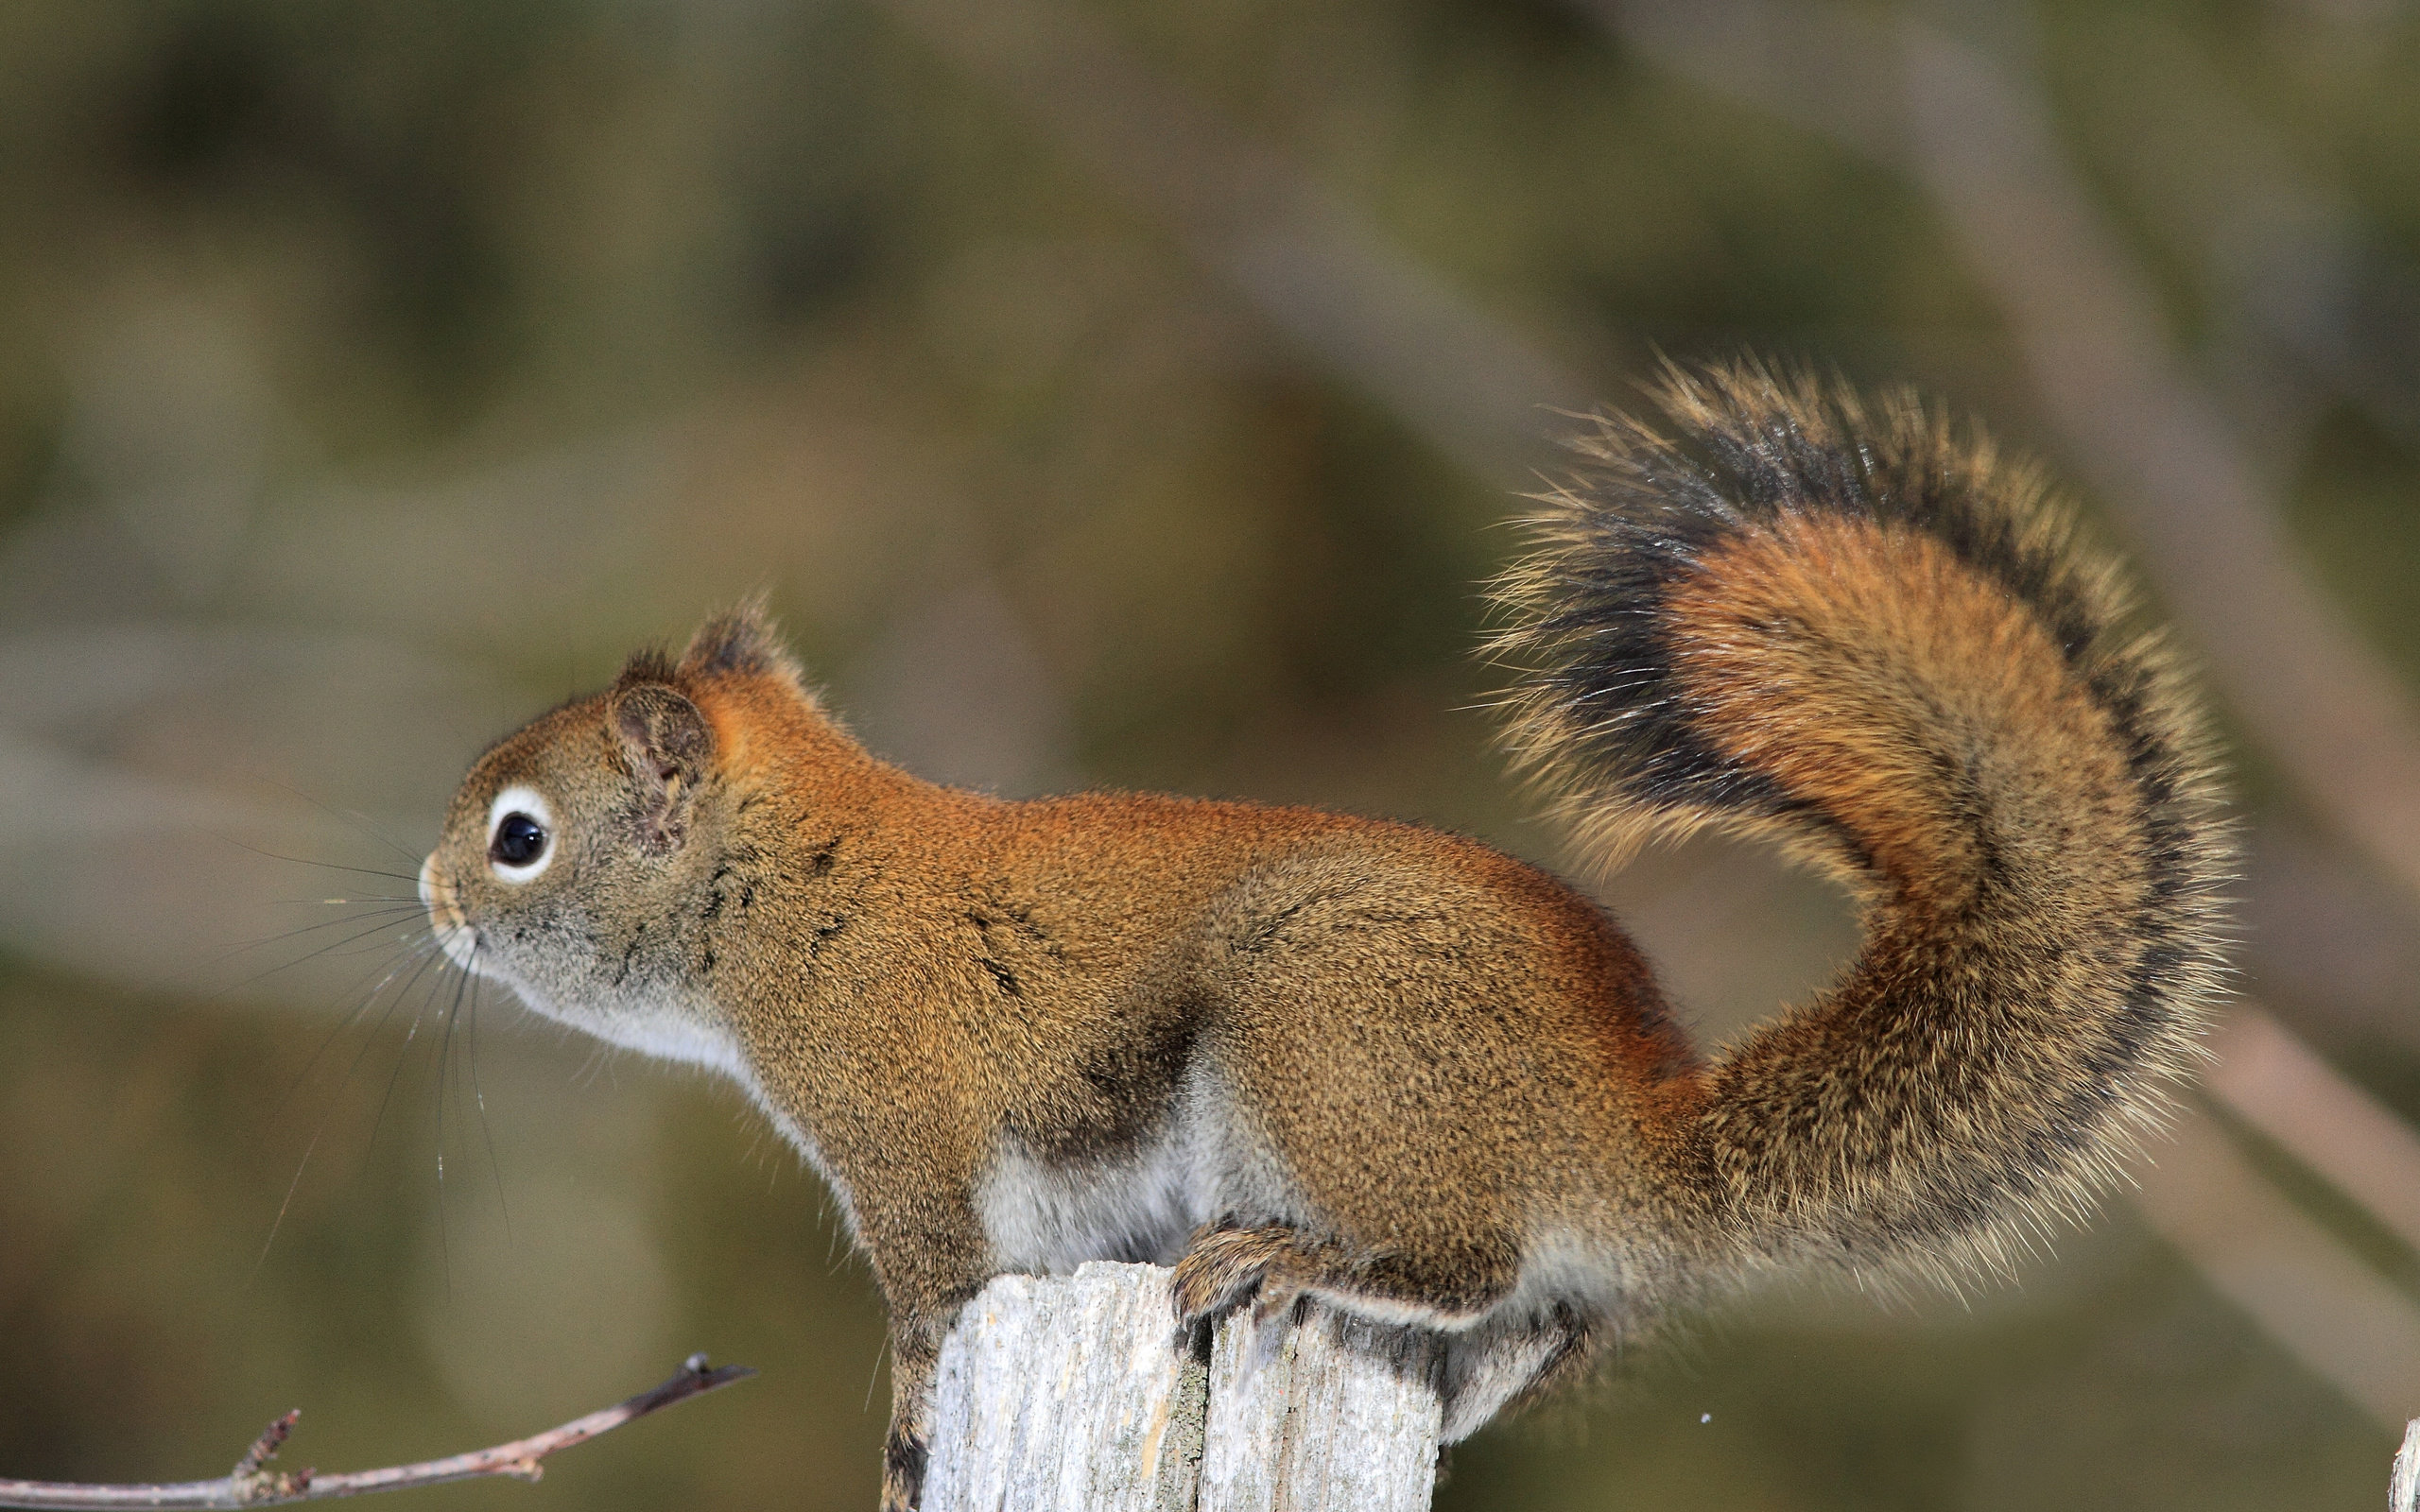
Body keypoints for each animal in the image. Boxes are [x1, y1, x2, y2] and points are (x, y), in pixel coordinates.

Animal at [416, 368, 2226, 1509]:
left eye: (521, 838)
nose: (429, 901)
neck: (801, 883)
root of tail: (1630, 1138)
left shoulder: (901, 1134)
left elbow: (932, 1323)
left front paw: (907, 1453)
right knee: (1527, 1320)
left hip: (1317, 1038)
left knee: (1462, 1256)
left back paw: (1295, 1259)